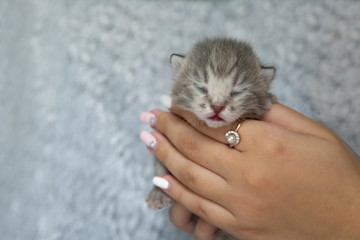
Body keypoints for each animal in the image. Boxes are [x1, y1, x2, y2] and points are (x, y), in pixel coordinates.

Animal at [146, 37, 276, 240]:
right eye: (201, 88)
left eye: (237, 91)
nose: (217, 106)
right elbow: (159, 163)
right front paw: (158, 191)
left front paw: (269, 100)